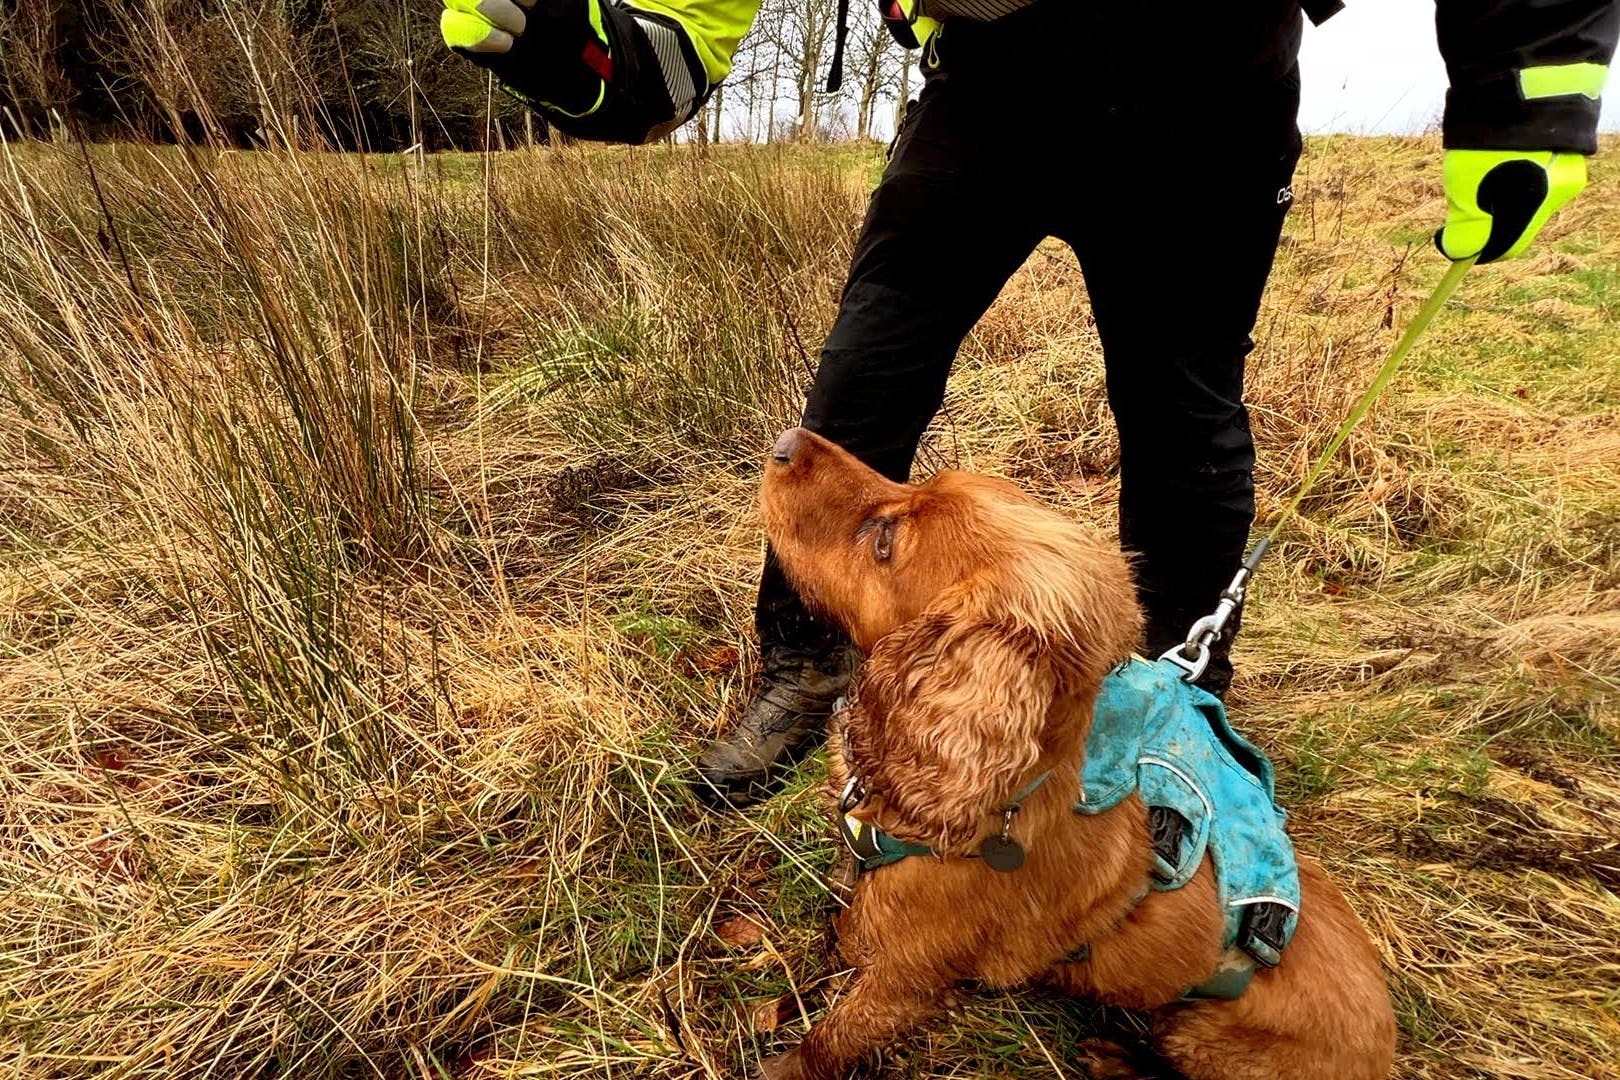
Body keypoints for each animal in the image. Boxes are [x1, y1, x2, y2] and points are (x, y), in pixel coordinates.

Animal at [751, 430, 1399, 1080]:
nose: (786, 441)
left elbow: (833, 1038)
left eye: (884, 540)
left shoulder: (907, 977)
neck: (997, 800)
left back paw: (1116, 1057)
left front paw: (785, 1065)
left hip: (1201, 1034)